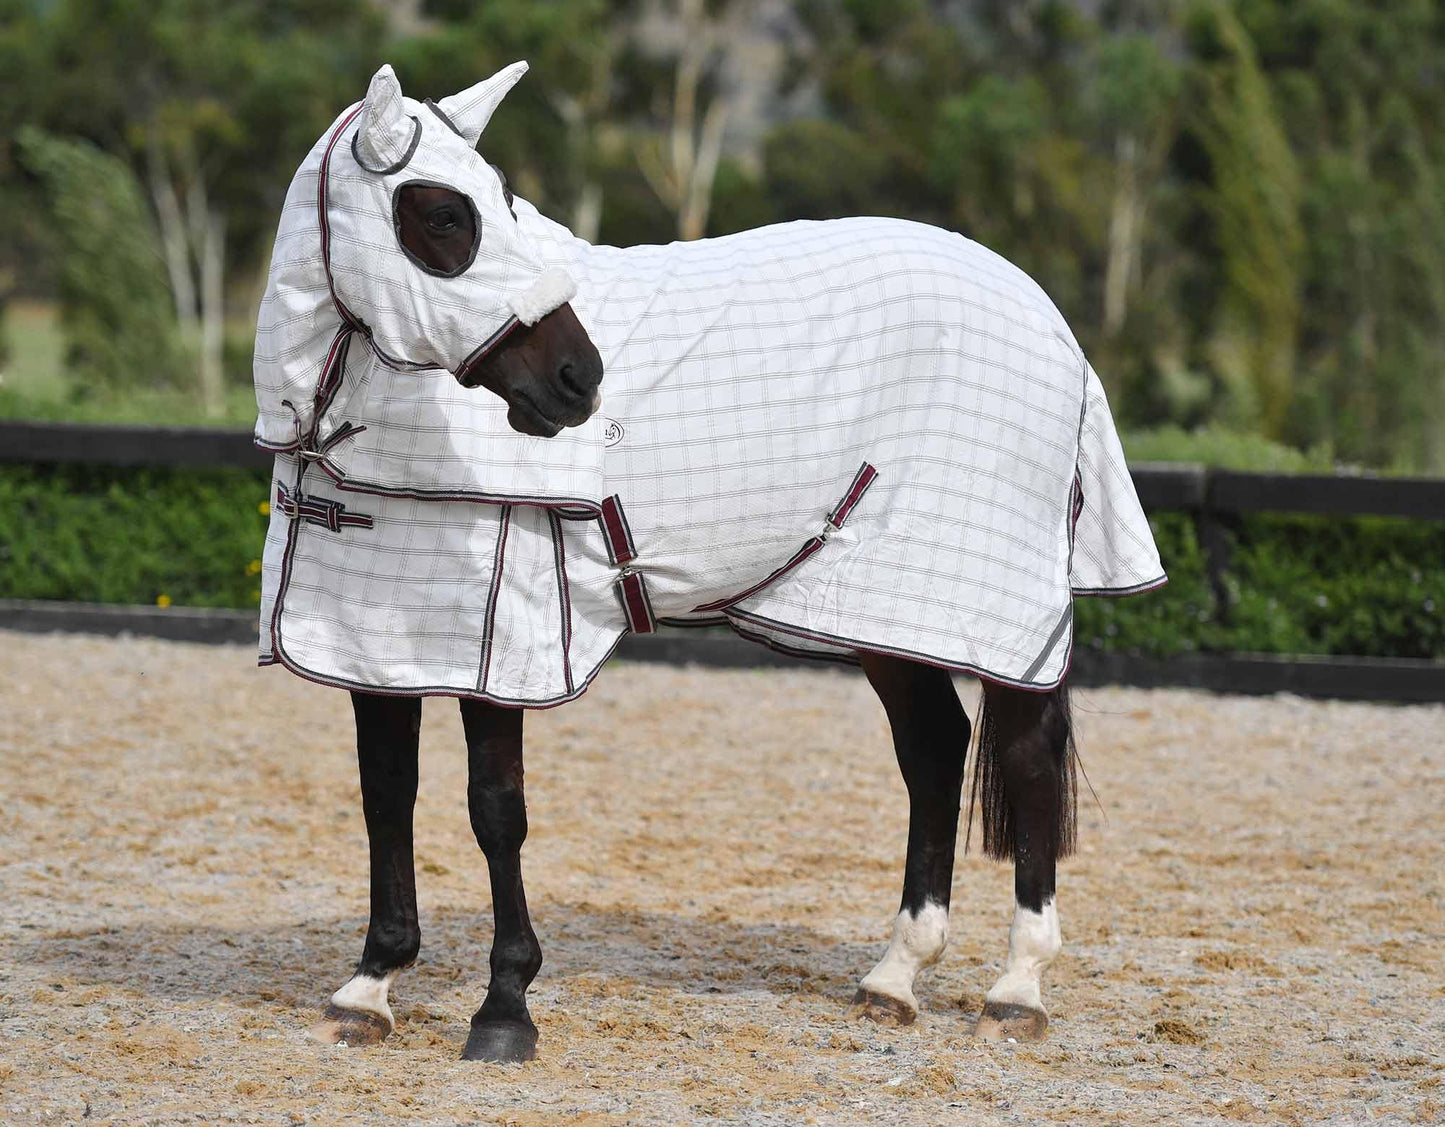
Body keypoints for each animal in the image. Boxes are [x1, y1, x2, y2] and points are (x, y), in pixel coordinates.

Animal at [252, 63, 1165, 1064]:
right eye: (447, 215)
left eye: (505, 202)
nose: (579, 377)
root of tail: (1047, 317)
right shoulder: (372, 643)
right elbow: (386, 795)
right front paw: (369, 984)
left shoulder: (503, 644)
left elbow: (495, 809)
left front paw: (504, 1007)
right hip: (876, 608)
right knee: (933, 750)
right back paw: (894, 976)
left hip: (984, 601)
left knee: (1027, 756)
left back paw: (1016, 985)